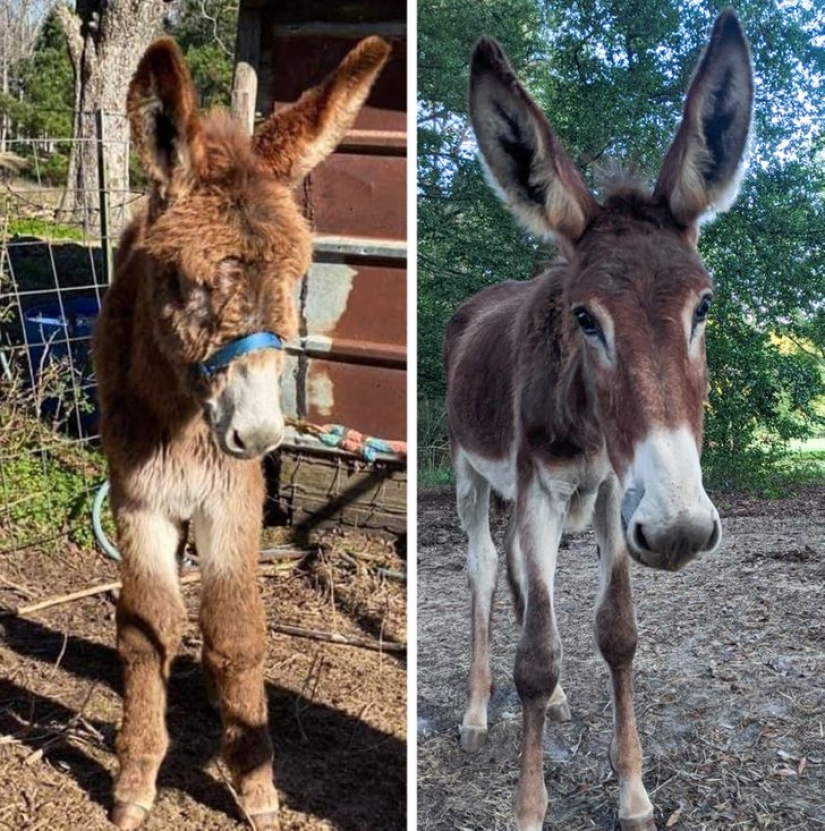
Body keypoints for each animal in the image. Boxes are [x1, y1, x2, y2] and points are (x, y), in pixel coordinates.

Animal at [95, 35, 392, 828]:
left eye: (297, 277)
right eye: (188, 280)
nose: (260, 433)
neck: (180, 419)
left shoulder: (233, 496)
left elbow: (235, 632)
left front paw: (256, 787)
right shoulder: (137, 495)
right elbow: (145, 628)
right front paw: (135, 781)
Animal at [448, 11, 748, 831]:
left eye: (702, 307)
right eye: (585, 318)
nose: (680, 528)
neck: (584, 424)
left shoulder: (616, 493)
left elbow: (615, 633)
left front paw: (633, 791)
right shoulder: (539, 486)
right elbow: (535, 654)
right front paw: (528, 807)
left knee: (523, 578)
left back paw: (554, 704)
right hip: (469, 472)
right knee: (485, 569)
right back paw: (478, 711)